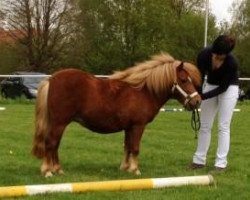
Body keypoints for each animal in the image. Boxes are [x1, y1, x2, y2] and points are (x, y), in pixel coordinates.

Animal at [32, 52, 201, 177]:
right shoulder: (138, 126)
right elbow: (135, 147)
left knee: (55, 145)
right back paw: (47, 171)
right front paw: (135, 170)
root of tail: (51, 79)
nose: (197, 101)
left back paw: (58, 169)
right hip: (59, 122)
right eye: (183, 80)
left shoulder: (129, 127)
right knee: (51, 143)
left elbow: (127, 146)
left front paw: (125, 167)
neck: (143, 91)